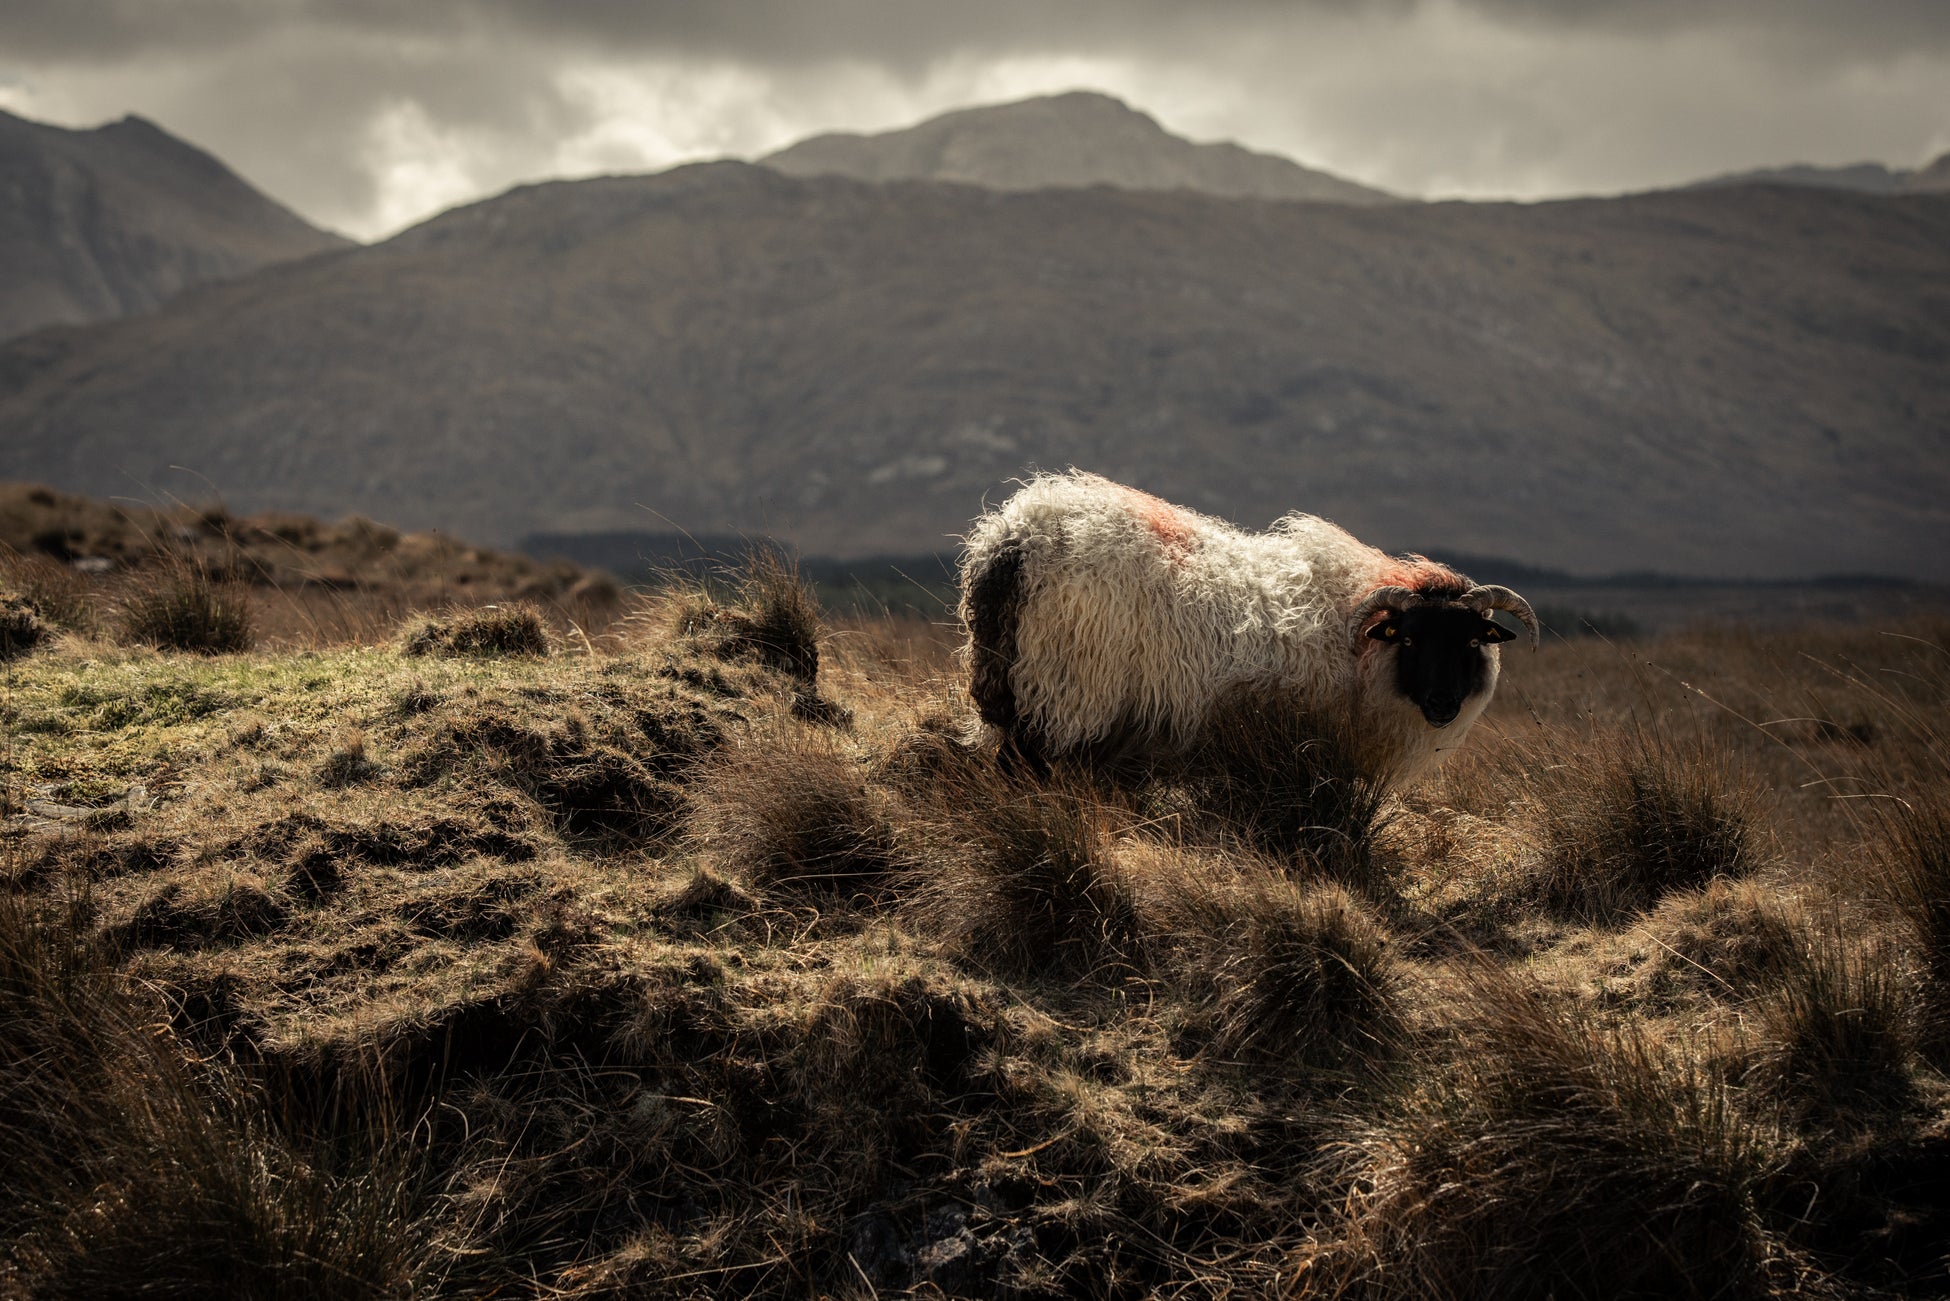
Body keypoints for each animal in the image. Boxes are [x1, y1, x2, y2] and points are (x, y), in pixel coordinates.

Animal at [959, 475, 1536, 784]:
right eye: (1410, 639)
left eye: (1471, 641)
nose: (1443, 703)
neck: (1367, 658)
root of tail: (1017, 539)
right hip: (1065, 692)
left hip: (1011, 682)